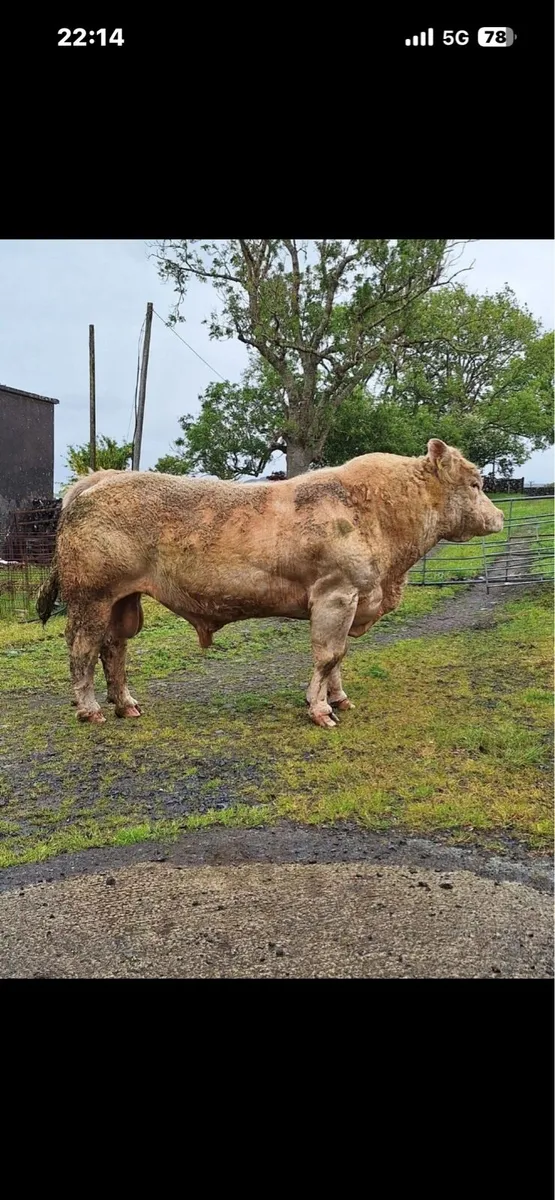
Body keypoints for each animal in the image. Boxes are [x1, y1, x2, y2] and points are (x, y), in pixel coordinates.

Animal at [37, 440, 503, 730]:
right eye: (476, 484)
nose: (498, 516)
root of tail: (100, 478)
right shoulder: (337, 594)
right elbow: (328, 655)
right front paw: (320, 709)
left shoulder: (352, 600)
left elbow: (340, 657)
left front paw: (340, 698)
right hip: (91, 597)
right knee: (82, 649)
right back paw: (90, 710)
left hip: (123, 599)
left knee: (114, 648)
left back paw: (126, 705)